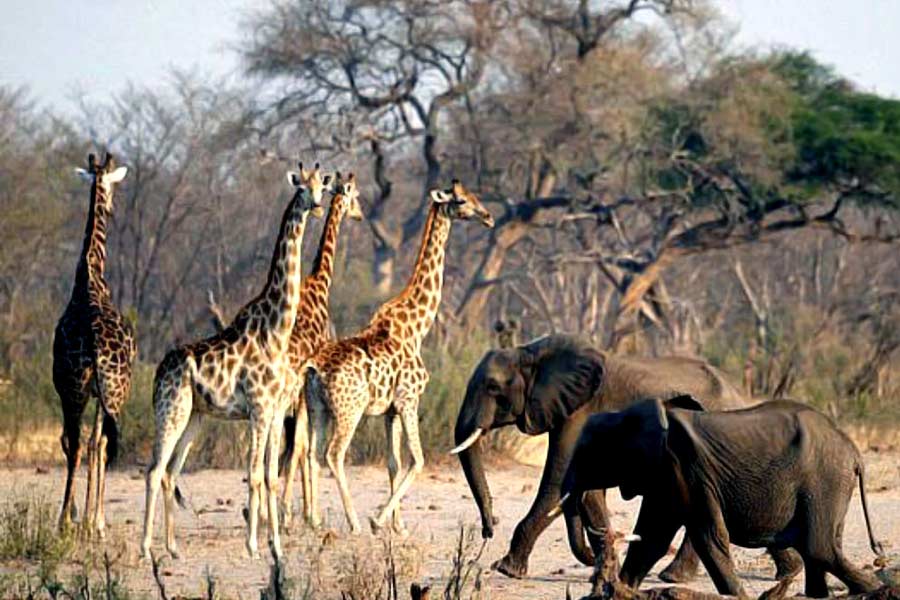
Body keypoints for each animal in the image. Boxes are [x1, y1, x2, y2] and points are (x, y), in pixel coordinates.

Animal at [451, 334, 800, 580]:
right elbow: (586, 489)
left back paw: (674, 577)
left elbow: (559, 481)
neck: (530, 351)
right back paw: (788, 572)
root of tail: (740, 395)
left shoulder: (580, 410)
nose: (488, 529)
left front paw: (505, 569)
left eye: (493, 387)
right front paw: (605, 567)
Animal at [560, 397, 884, 598]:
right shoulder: (666, 476)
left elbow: (709, 536)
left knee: (819, 547)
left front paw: (737, 596)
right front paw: (619, 592)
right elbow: (651, 539)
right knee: (821, 547)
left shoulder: (685, 469)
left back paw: (874, 589)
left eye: (589, 452)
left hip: (824, 479)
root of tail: (855, 451)